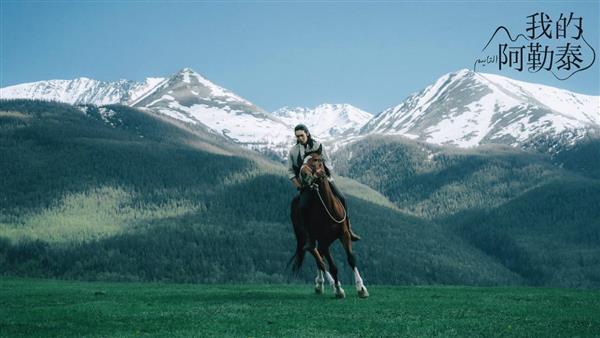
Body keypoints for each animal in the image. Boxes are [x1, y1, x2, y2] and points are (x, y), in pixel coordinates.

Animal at [288, 148, 368, 298]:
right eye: (302, 161)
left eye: (317, 160)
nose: (304, 175)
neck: (328, 208)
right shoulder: (324, 242)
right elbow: (333, 267)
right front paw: (339, 290)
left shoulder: (344, 234)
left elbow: (351, 259)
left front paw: (361, 288)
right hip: (308, 239)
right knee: (318, 258)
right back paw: (327, 284)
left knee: (319, 259)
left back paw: (320, 284)